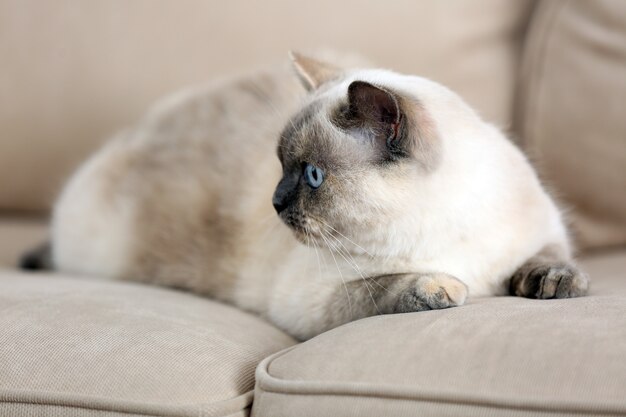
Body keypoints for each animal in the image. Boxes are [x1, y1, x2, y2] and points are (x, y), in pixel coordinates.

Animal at [18, 52, 584, 338]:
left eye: (312, 176)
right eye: (281, 167)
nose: (274, 202)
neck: (447, 230)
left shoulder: (544, 231)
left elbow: (550, 257)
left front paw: (555, 284)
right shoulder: (314, 296)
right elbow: (381, 289)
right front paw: (439, 288)